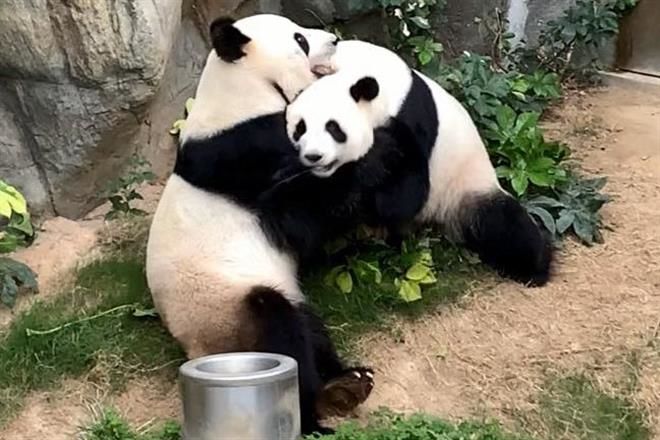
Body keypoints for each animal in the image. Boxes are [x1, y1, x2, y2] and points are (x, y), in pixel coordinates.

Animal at [148, 16, 374, 434]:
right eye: (300, 39)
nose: (334, 40)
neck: (243, 91)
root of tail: (195, 349)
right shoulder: (246, 152)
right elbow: (299, 215)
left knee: (309, 328)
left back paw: (347, 382)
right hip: (226, 308)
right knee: (280, 329)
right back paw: (316, 410)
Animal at [286, 39, 556, 288]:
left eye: (333, 128)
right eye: (300, 128)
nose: (314, 156)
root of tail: (436, 222)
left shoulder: (411, 119)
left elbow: (404, 196)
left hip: (465, 187)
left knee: (504, 225)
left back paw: (535, 269)